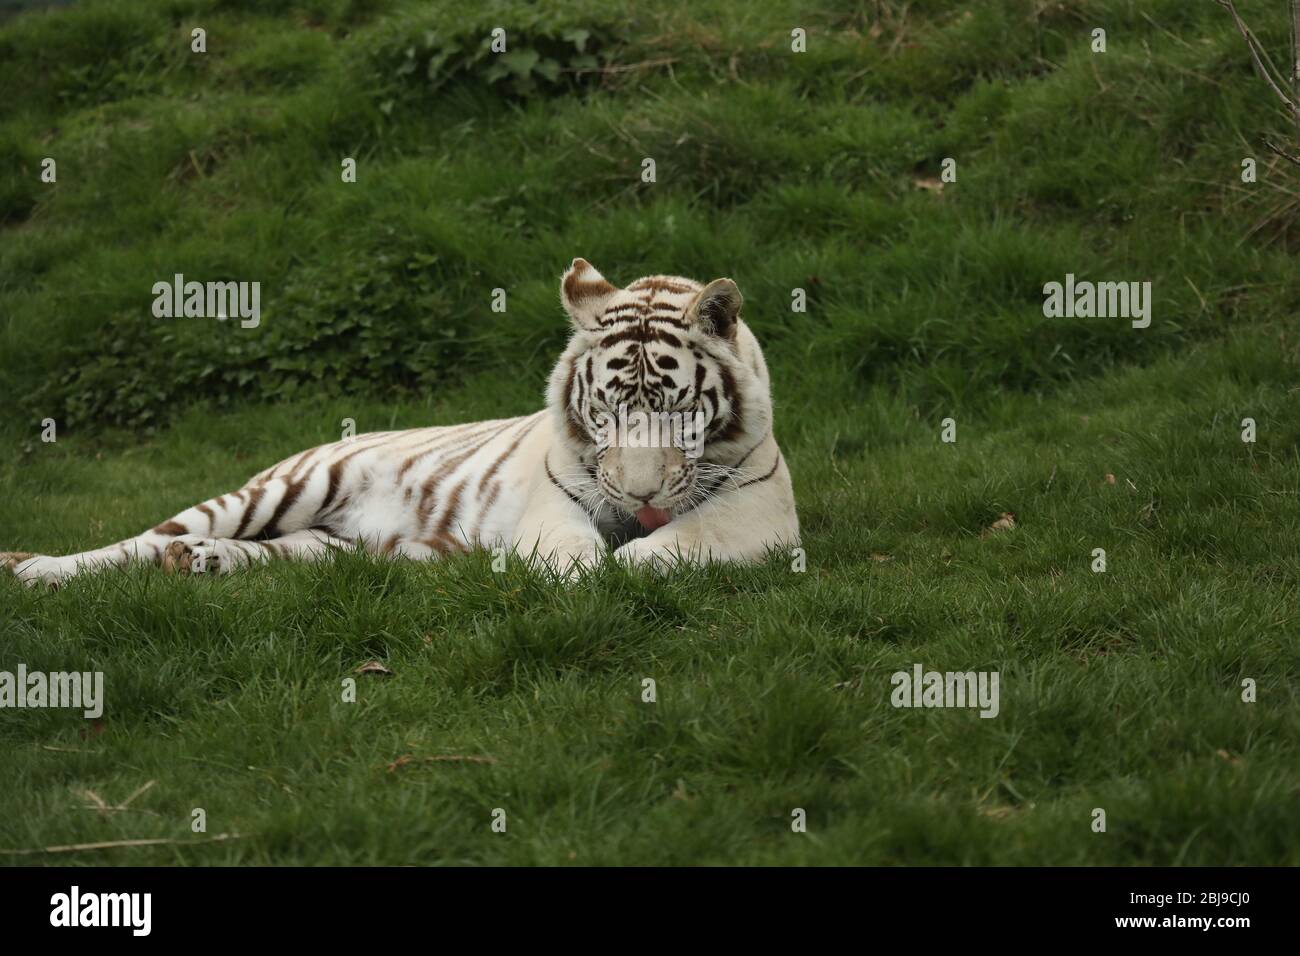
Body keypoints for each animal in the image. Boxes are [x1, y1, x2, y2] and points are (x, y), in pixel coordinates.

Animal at [0, 257, 795, 587]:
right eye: (605, 412)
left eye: (678, 411)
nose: (640, 496)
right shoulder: (556, 498)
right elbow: (573, 549)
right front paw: (578, 574)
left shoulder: (760, 510)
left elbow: (680, 542)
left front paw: (629, 561)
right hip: (278, 491)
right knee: (136, 540)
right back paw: (39, 569)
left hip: (324, 546)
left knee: (271, 556)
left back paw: (199, 562)